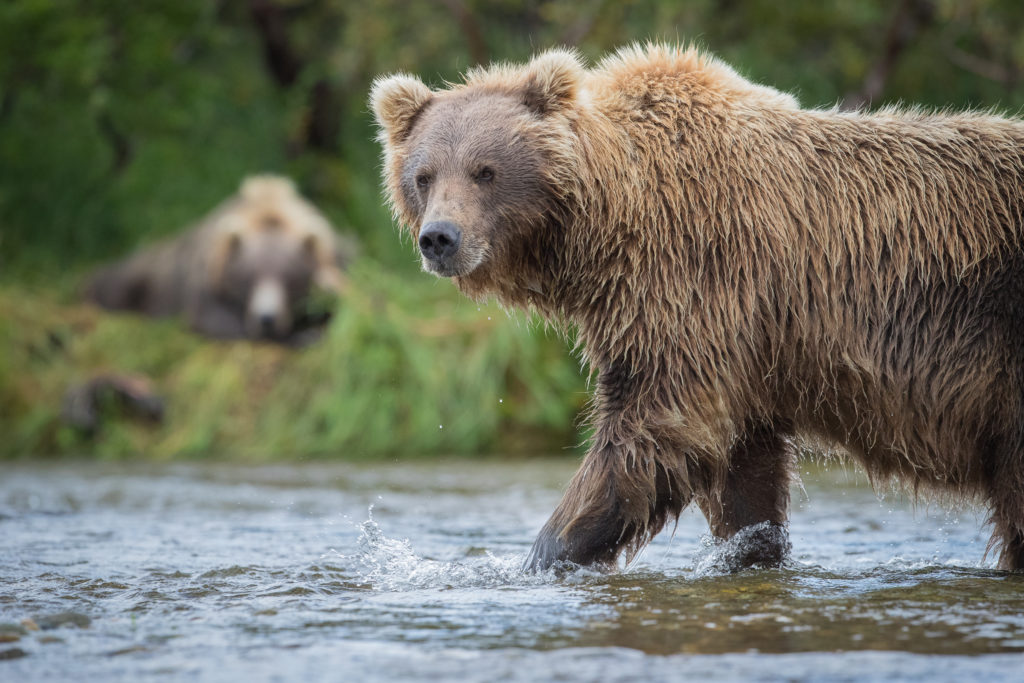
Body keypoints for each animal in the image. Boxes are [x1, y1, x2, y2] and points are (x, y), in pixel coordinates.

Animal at [84, 176, 356, 348]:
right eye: (249, 278)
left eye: (290, 279)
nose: (266, 319)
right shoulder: (208, 271)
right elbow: (213, 317)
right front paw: (302, 336)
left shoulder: (336, 258)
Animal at [372, 44, 1024, 573]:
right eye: (423, 175)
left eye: (485, 171)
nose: (440, 238)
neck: (608, 223)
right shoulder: (749, 347)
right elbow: (742, 470)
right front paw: (753, 549)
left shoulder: (693, 280)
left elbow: (656, 428)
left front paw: (541, 556)